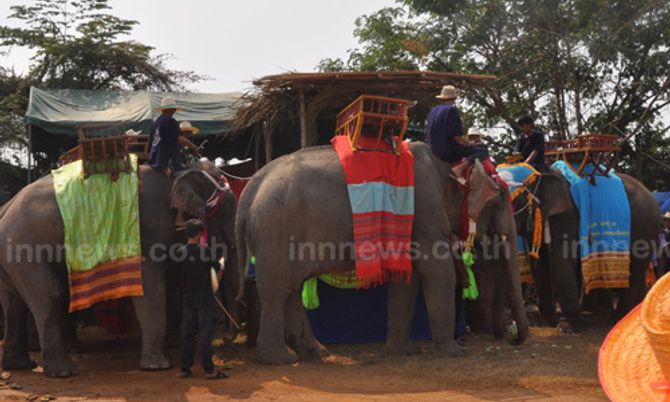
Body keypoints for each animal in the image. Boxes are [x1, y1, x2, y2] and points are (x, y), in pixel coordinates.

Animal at [0, 161, 239, 376]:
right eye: (229, 208)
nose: (228, 337)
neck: (178, 172)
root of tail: (7, 208)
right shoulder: (148, 229)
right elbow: (150, 286)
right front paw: (158, 366)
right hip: (23, 245)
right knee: (49, 294)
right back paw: (64, 371)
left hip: (11, 252)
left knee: (14, 301)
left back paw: (21, 365)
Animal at [236, 142, 532, 364]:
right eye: (502, 197)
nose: (511, 338)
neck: (446, 165)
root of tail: (251, 186)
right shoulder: (425, 208)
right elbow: (438, 270)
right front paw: (455, 353)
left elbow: (407, 277)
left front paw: (405, 351)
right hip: (276, 230)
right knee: (276, 291)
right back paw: (281, 359)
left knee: (292, 289)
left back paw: (315, 353)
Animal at [512, 167, 660, 330]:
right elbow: (540, 264)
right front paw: (544, 323)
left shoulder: (567, 216)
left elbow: (561, 264)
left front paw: (567, 327)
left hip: (646, 226)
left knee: (634, 271)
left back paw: (615, 320)